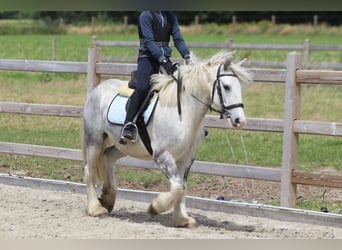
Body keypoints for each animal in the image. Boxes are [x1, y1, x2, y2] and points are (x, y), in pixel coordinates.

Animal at [81, 49, 251, 228]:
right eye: (226, 87)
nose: (240, 120)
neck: (184, 114)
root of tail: (97, 89)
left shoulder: (187, 158)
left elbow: (182, 186)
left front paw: (182, 219)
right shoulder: (162, 156)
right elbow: (177, 187)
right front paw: (156, 207)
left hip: (125, 146)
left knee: (108, 156)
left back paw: (108, 198)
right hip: (94, 140)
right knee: (89, 171)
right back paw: (95, 209)